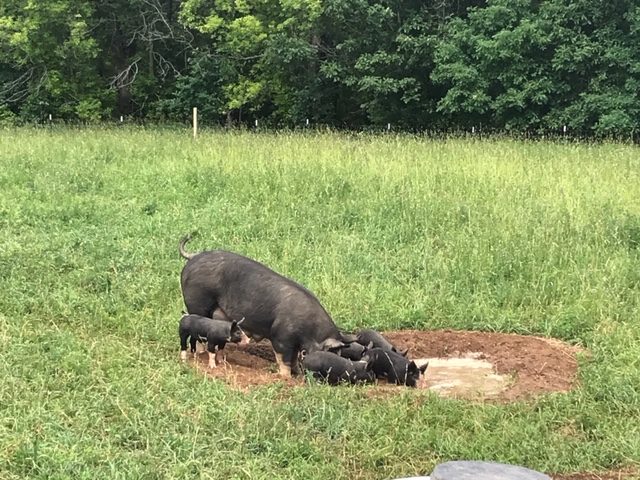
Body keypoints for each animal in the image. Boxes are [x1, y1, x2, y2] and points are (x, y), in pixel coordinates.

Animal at [179, 234, 348, 377]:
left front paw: (297, 374)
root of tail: (195, 256)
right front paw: (286, 378)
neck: (310, 331)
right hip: (197, 302)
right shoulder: (281, 337)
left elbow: (294, 358)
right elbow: (284, 359)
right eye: (329, 353)